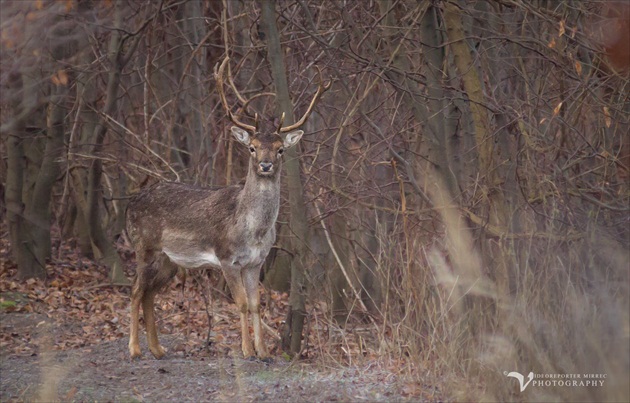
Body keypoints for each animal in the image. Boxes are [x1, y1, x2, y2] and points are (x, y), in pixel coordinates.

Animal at [124, 56, 330, 360]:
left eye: (280, 149)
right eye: (253, 147)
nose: (265, 165)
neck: (253, 230)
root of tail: (130, 204)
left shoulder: (256, 262)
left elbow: (256, 304)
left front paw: (263, 352)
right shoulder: (226, 258)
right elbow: (241, 303)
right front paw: (245, 350)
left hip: (169, 259)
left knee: (150, 292)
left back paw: (158, 349)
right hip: (144, 245)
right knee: (136, 289)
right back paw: (135, 349)